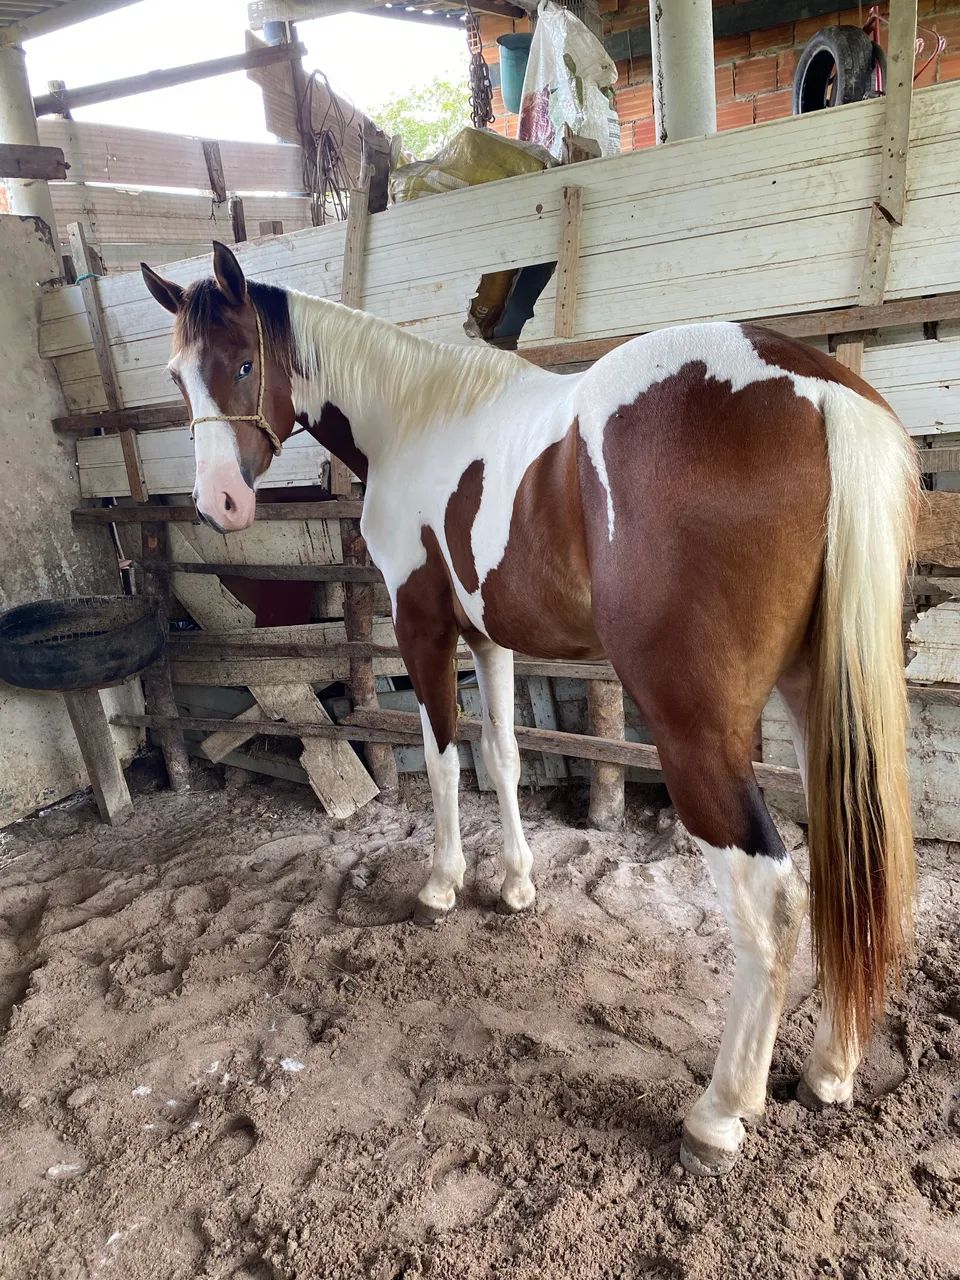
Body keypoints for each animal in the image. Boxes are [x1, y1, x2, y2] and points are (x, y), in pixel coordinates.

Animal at [142, 241, 917, 1176]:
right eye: (178, 374)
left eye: (246, 363)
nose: (219, 504)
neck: (417, 416)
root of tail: (821, 391)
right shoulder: (491, 639)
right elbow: (503, 756)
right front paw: (515, 885)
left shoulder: (424, 627)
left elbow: (445, 759)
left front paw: (442, 887)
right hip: (818, 705)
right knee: (848, 865)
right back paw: (831, 1070)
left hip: (698, 732)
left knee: (771, 904)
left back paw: (720, 1114)